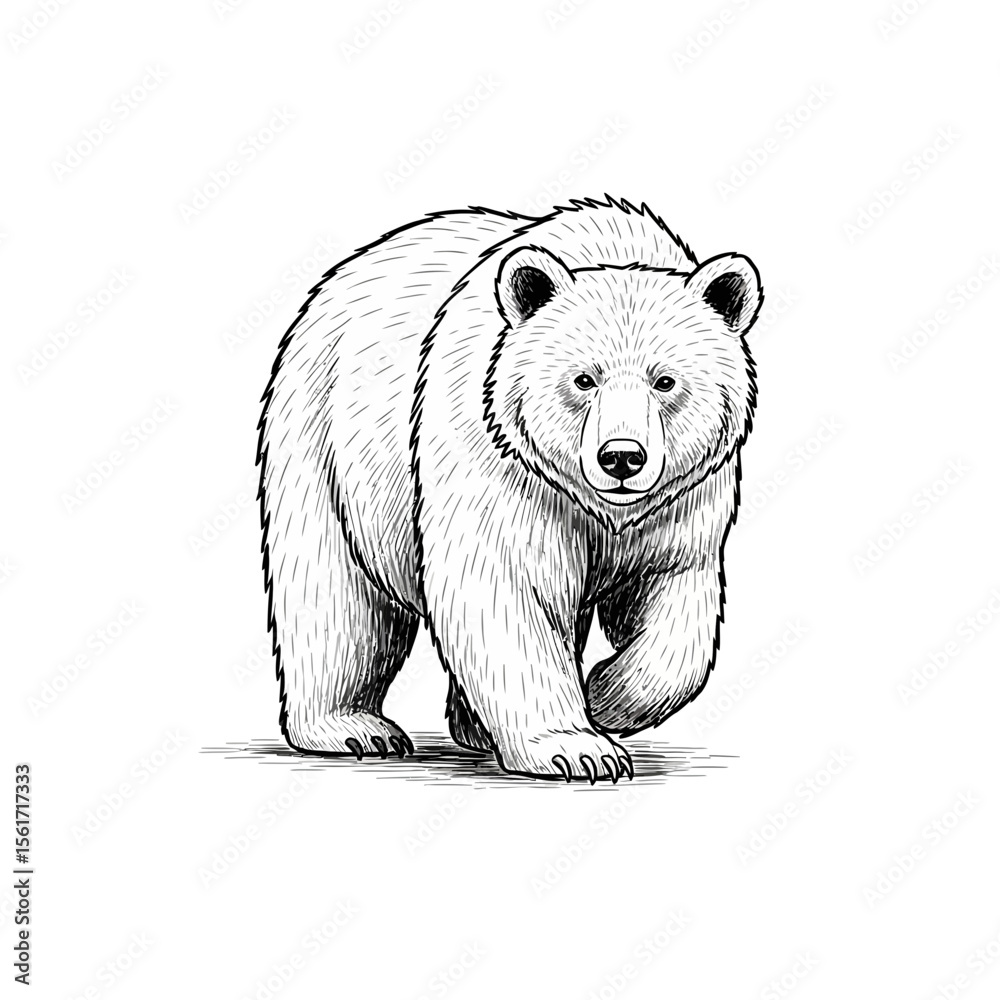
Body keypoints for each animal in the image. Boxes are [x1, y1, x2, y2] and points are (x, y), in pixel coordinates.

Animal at [257, 196, 761, 782]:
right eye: (583, 379)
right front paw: (579, 748)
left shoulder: (681, 502)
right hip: (327, 443)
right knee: (338, 597)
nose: (621, 457)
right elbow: (503, 586)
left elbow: (671, 600)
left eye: (666, 381)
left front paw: (604, 697)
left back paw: (471, 726)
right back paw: (353, 728)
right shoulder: (501, 461)